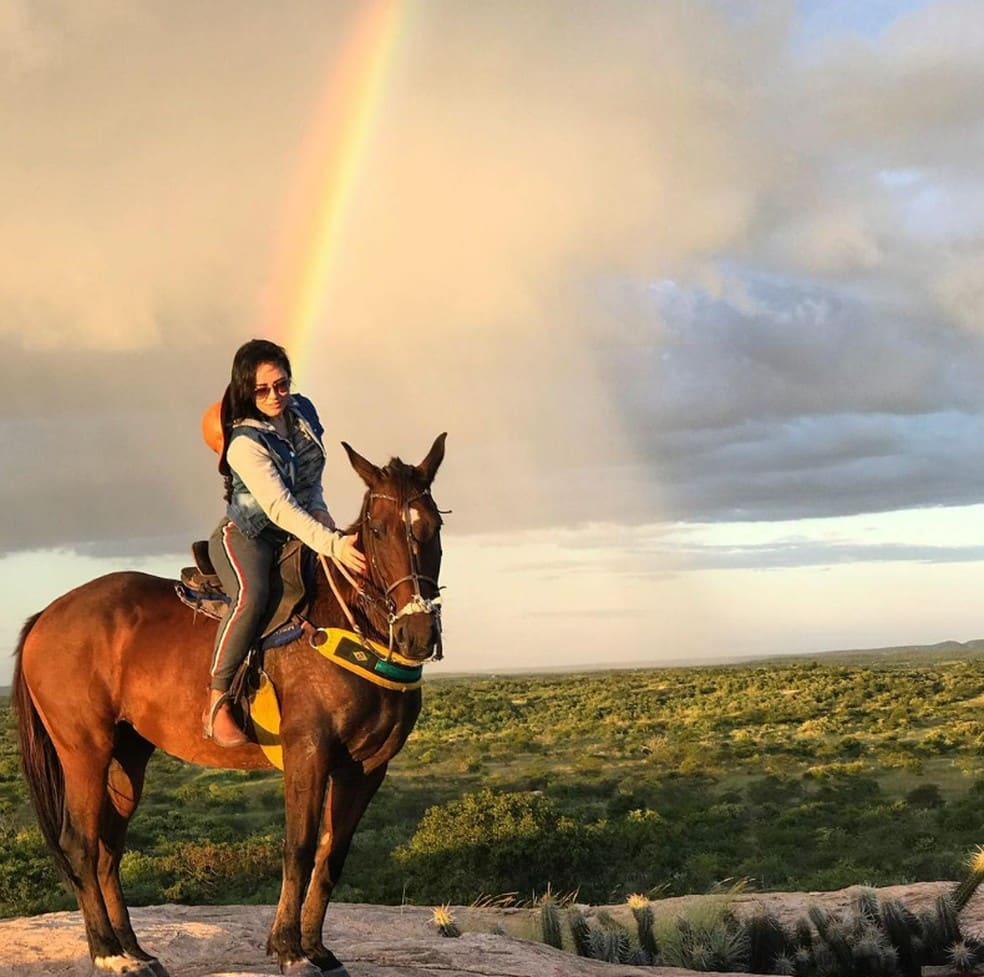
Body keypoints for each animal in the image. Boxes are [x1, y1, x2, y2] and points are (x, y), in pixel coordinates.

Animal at [11, 432, 448, 976]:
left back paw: (135, 949)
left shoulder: (366, 768)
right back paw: (109, 953)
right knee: (81, 843)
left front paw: (318, 950)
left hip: (125, 756)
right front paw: (289, 950)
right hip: (84, 752)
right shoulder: (308, 752)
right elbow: (299, 849)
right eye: (378, 529)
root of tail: (46, 615)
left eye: (433, 526)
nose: (417, 633)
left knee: (109, 848)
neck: (348, 620)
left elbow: (332, 855)